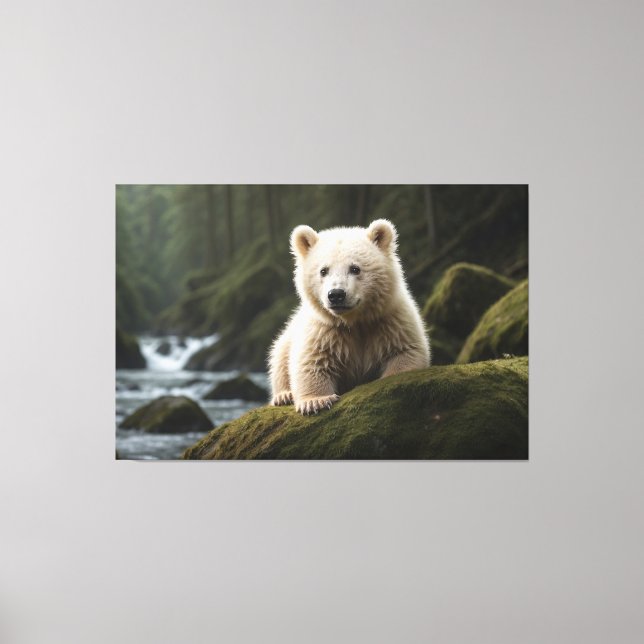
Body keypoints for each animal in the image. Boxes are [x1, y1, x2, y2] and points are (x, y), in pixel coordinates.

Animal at [269, 219, 430, 415]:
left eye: (355, 268)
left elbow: (406, 351)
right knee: (279, 354)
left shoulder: (391, 320)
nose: (336, 294)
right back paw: (284, 395)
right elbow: (311, 361)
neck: (354, 321)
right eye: (323, 271)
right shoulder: (324, 330)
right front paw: (316, 401)